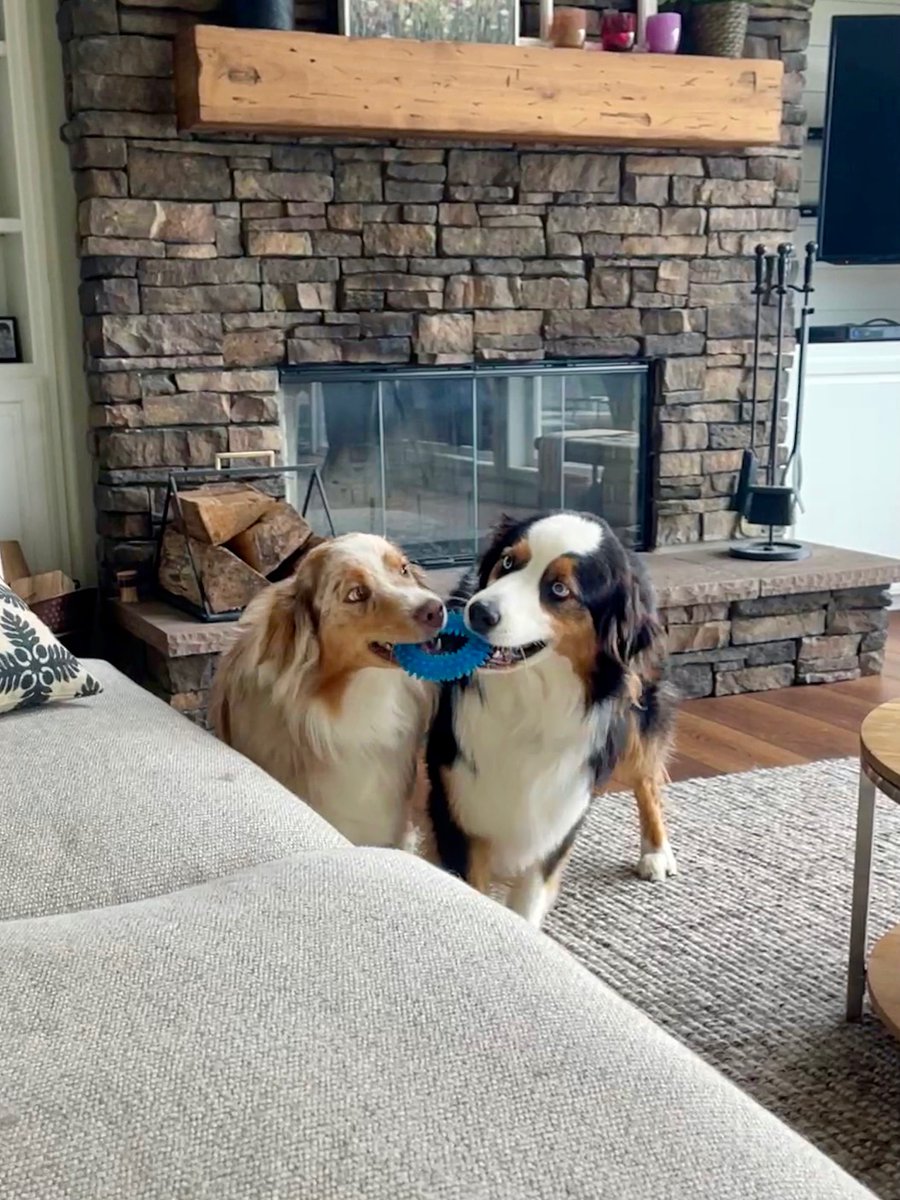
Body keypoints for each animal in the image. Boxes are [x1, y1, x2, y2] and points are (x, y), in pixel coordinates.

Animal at [427, 511, 676, 931]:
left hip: (639, 710)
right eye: (508, 562)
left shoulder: (557, 814)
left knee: (646, 778)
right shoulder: (456, 805)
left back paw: (656, 852)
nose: (479, 611)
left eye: (559, 590)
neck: (527, 701)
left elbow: (528, 902)